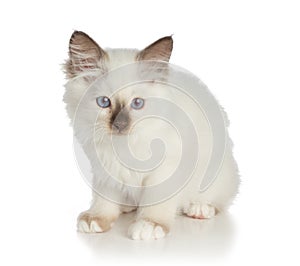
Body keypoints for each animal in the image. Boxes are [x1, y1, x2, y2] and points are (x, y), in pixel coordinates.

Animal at [62, 31, 239, 241]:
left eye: (137, 103)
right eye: (104, 102)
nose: (120, 125)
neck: (124, 146)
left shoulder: (164, 170)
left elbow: (155, 203)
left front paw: (149, 225)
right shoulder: (105, 168)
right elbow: (104, 200)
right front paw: (96, 219)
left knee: (218, 198)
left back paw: (199, 208)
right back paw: (126, 207)